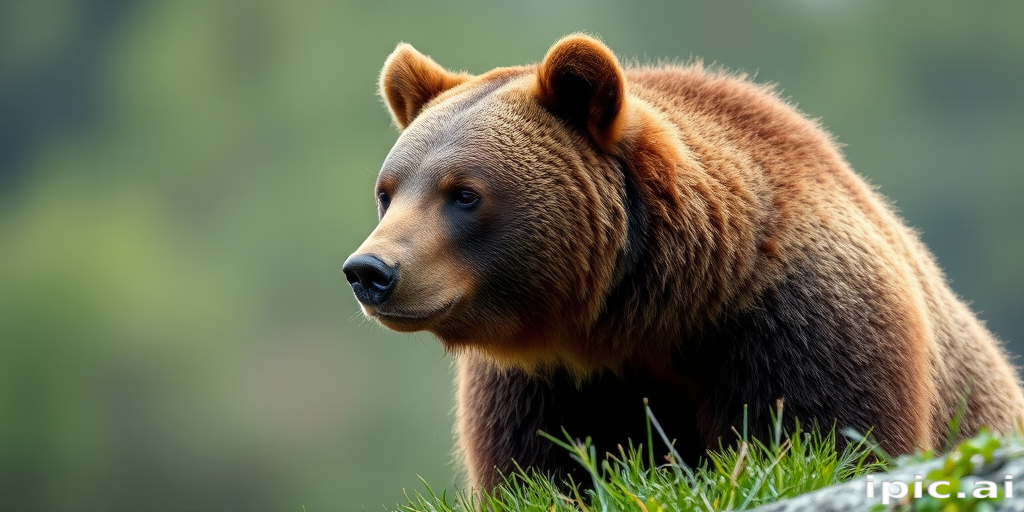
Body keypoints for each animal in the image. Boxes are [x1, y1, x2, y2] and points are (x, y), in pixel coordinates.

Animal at [343, 34, 1024, 490]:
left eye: (464, 193)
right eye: (388, 191)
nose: (370, 271)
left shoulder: (804, 320)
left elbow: (829, 434)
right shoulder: (548, 380)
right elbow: (541, 467)